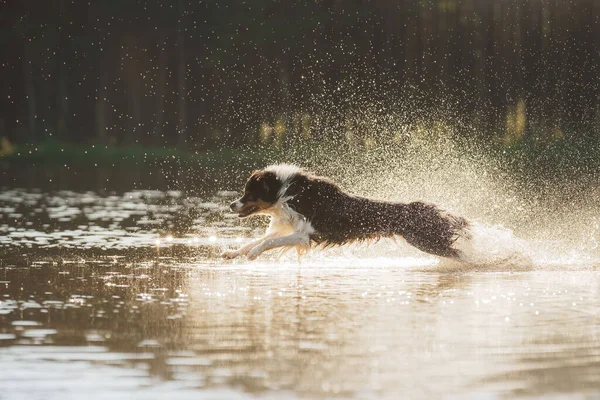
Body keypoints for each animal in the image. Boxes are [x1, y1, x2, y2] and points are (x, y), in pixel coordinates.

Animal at [220, 164, 468, 260]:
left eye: (249, 193)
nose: (231, 205)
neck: (287, 192)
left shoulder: (305, 235)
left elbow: (267, 242)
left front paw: (253, 255)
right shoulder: (290, 227)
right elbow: (256, 240)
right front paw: (233, 253)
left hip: (427, 241)